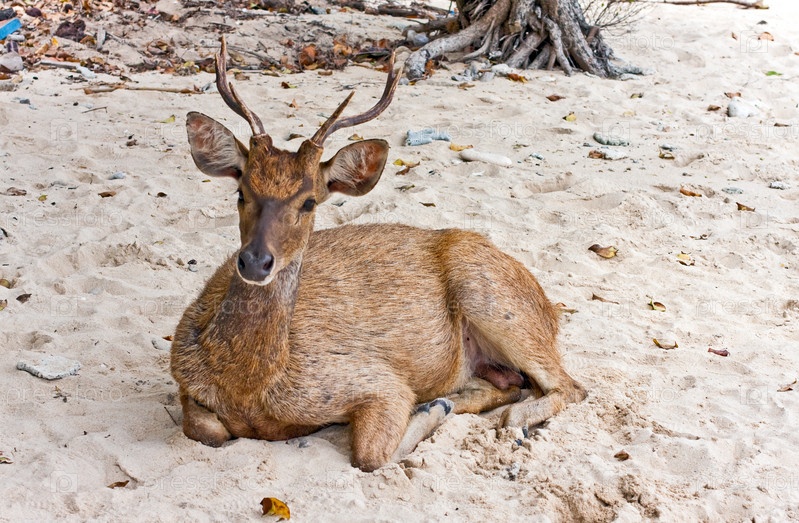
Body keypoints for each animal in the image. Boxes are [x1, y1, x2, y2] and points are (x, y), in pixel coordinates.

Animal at [170, 37, 587, 472]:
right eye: (241, 192)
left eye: (309, 202)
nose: (255, 261)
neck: (250, 387)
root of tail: (551, 309)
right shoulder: (185, 382)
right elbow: (206, 429)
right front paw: (437, 406)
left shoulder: (377, 380)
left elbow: (372, 455)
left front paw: (430, 410)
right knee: (511, 384)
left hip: (494, 298)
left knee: (569, 386)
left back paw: (502, 418)